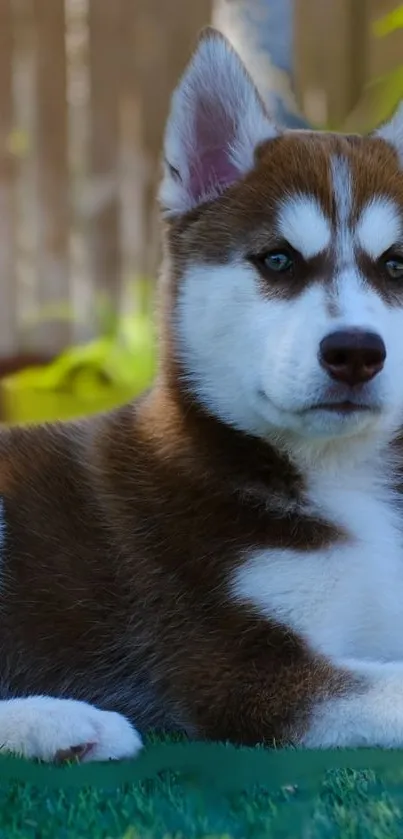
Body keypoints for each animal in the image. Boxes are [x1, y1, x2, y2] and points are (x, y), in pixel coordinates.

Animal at [3, 27, 403, 760]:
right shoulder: (237, 667)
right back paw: (63, 723)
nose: (355, 353)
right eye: (277, 259)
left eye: (395, 266)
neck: (342, 481)